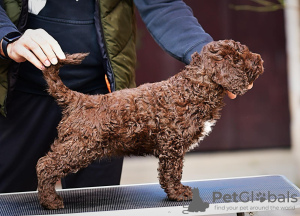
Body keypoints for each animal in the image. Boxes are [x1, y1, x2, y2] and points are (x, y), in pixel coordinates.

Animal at [36, 39, 264, 208]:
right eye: (239, 58)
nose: (260, 60)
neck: (193, 89)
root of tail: (79, 100)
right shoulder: (172, 145)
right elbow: (172, 172)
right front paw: (178, 193)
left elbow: (170, 172)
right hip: (79, 146)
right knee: (45, 165)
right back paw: (50, 201)